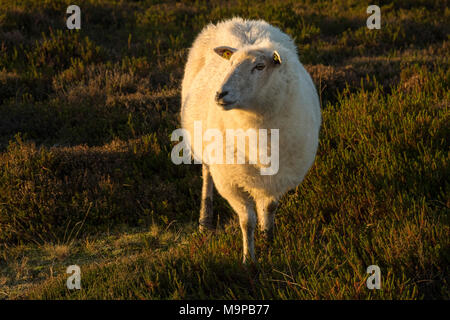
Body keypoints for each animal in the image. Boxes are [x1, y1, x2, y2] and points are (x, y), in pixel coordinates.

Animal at [178, 17, 320, 262]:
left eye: (260, 66)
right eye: (230, 63)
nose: (220, 94)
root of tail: (239, 20)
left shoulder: (279, 176)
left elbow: (269, 209)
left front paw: (269, 241)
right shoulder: (231, 180)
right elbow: (247, 221)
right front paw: (249, 259)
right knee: (207, 174)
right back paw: (205, 220)